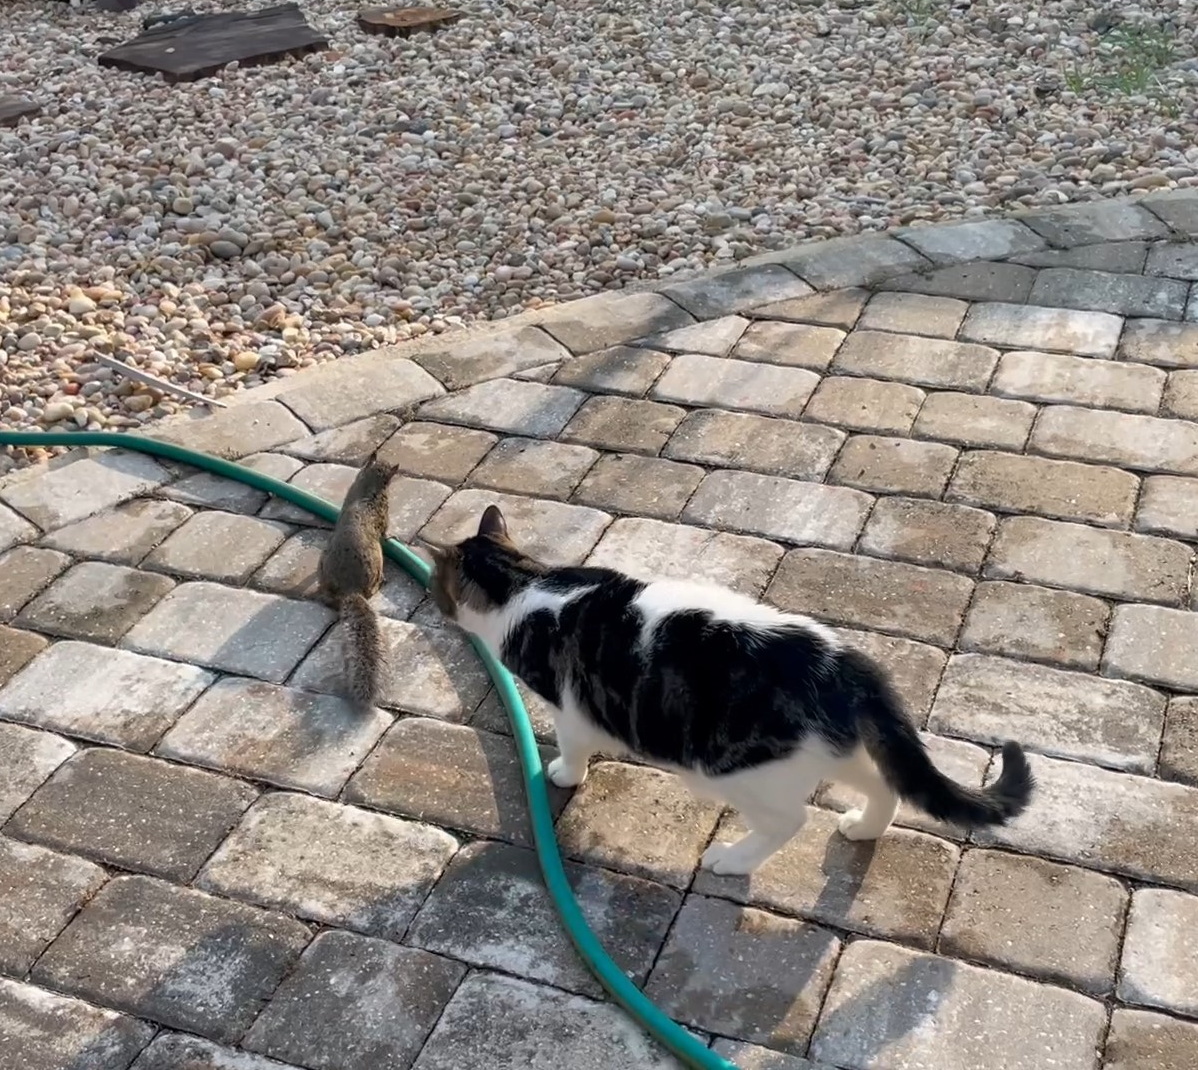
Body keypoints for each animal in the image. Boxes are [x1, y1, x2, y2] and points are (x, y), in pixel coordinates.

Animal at [317, 452, 398, 707]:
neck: (367, 486)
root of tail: (350, 589)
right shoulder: (383, 515)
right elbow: (386, 531)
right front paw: (394, 536)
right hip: (377, 561)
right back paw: (382, 582)